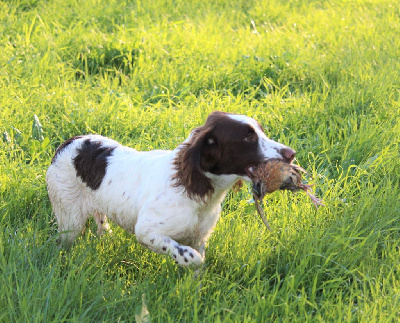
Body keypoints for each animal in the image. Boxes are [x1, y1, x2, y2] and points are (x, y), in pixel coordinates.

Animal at [47, 110, 296, 268]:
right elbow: (192, 257)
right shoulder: (146, 231)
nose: (291, 153)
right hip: (70, 220)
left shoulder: (200, 237)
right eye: (247, 137)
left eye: (261, 131)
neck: (197, 192)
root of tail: (68, 142)